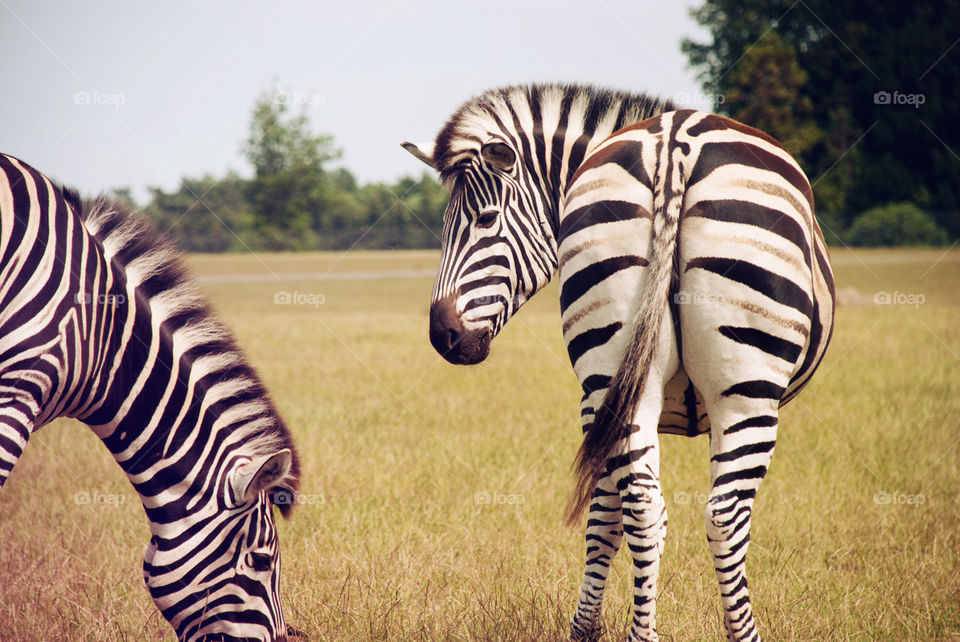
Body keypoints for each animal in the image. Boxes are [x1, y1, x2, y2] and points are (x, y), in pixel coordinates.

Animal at [402, 82, 836, 636]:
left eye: (485, 220)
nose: (443, 337)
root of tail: (675, 144)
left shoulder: (597, 402)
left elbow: (605, 512)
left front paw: (586, 628)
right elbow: (607, 512)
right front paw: (588, 625)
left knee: (649, 509)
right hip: (745, 394)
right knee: (720, 516)